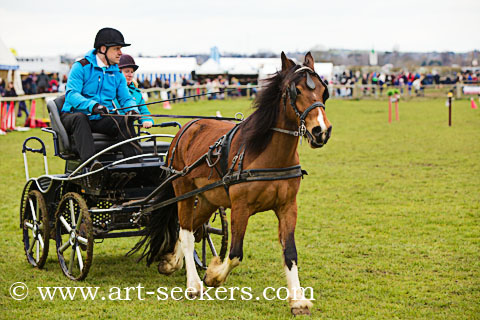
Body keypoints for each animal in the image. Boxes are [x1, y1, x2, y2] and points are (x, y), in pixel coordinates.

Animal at [133, 52, 332, 316]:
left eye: (323, 90)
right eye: (296, 91)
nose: (321, 131)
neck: (268, 154)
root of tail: (186, 129)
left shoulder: (288, 206)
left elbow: (290, 252)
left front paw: (298, 300)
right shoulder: (241, 207)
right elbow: (236, 254)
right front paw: (213, 276)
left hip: (207, 198)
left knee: (192, 228)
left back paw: (171, 262)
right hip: (184, 190)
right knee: (186, 232)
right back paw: (193, 284)